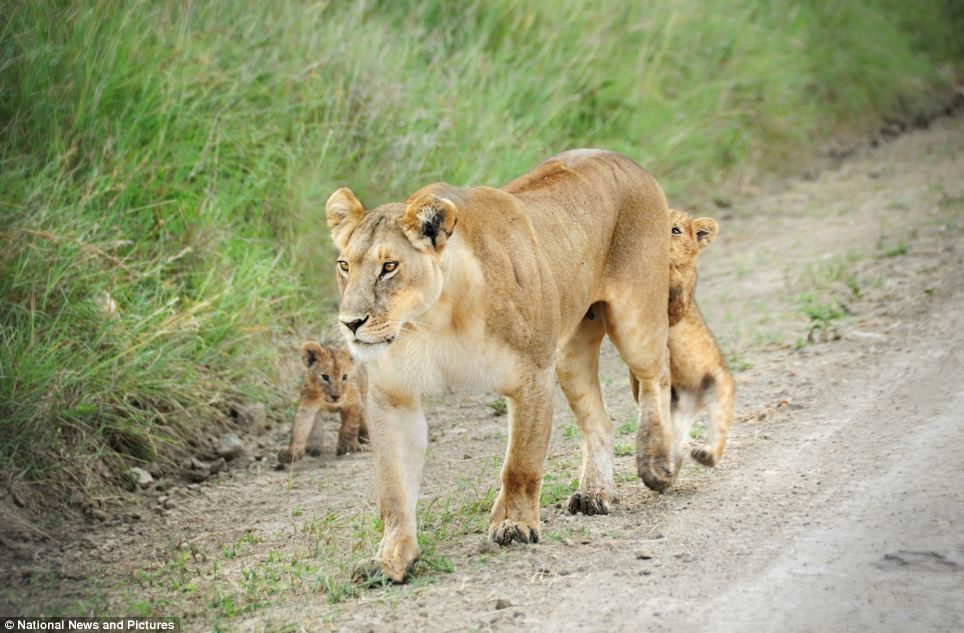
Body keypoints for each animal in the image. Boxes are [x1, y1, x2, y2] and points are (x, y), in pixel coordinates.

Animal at [328, 149, 676, 584]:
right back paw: (595, 493)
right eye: (344, 265)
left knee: (657, 379)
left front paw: (513, 525)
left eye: (389, 267)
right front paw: (390, 558)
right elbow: (393, 488)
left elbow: (520, 465)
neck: (436, 319)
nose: (350, 323)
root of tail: (625, 158)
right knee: (600, 419)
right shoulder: (393, 397)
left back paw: (657, 464)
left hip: (635, 326)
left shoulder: (532, 377)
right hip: (569, 355)